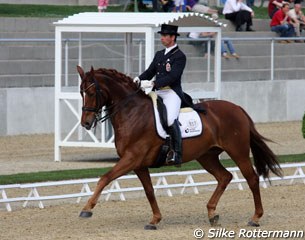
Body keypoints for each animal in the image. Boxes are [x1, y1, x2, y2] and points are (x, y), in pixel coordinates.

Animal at [77, 65, 282, 229]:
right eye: (81, 93)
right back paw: (212, 214)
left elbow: (104, 178)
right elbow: (149, 191)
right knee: (224, 177)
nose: (85, 123)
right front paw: (155, 220)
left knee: (252, 179)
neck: (132, 113)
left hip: (238, 151)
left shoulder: (131, 159)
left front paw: (87, 209)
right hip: (206, 156)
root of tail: (237, 108)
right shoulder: (138, 164)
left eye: (92, 93)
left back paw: (255, 218)